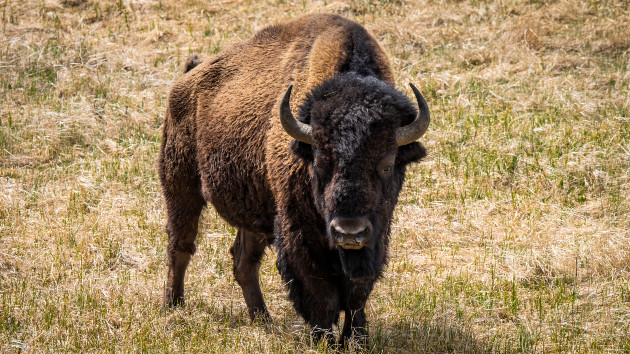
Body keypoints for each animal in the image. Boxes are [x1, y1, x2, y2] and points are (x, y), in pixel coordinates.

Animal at [160, 14, 432, 346]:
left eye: (387, 164)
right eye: (320, 161)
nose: (349, 232)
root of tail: (187, 78)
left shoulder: (377, 232)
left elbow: (357, 292)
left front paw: (357, 339)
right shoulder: (299, 229)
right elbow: (320, 291)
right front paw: (323, 339)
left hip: (257, 212)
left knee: (243, 261)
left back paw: (262, 319)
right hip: (180, 183)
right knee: (180, 245)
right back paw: (173, 306)